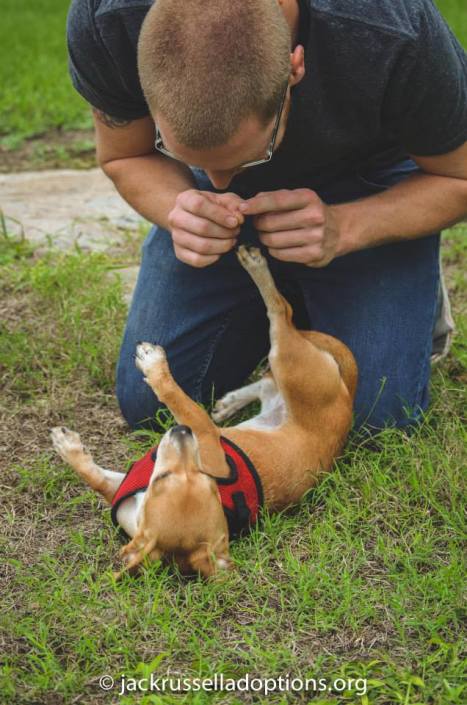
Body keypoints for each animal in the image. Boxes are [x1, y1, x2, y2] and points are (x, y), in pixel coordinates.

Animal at [52, 245, 358, 576]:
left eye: (208, 477)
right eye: (162, 477)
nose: (181, 432)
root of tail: (348, 399)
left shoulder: (204, 432)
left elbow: (179, 400)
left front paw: (154, 367)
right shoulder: (118, 489)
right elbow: (93, 477)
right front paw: (68, 447)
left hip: (291, 363)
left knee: (281, 311)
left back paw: (255, 265)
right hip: (281, 382)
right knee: (267, 383)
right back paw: (229, 402)